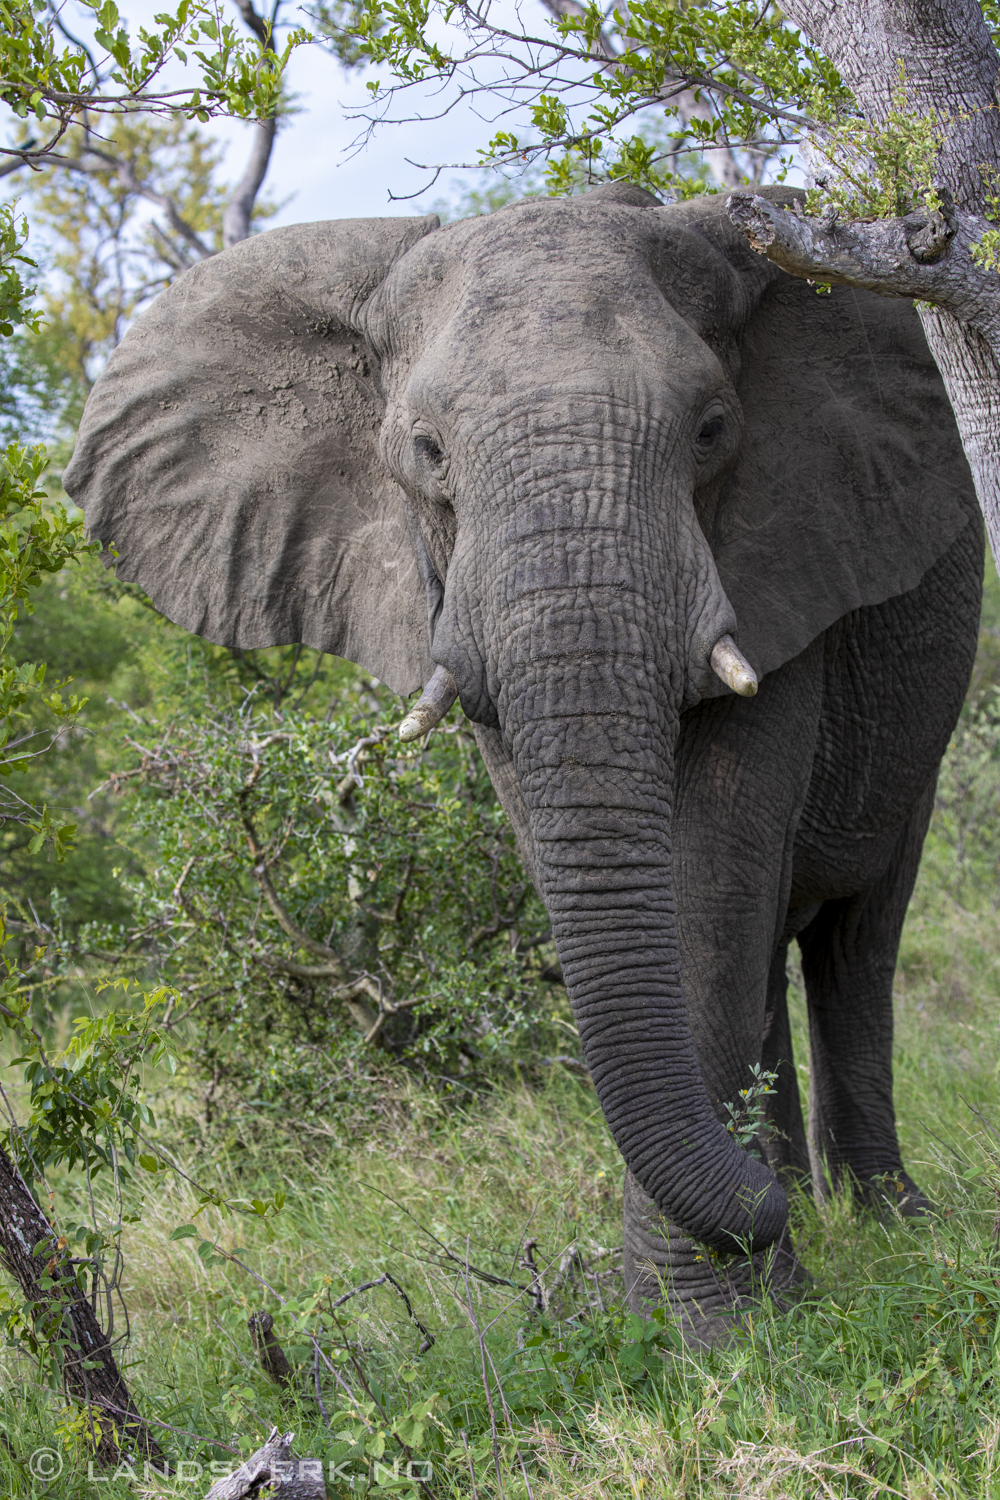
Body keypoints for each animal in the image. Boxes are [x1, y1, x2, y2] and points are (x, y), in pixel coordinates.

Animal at [64, 181, 983, 1344]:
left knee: (857, 936)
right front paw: (715, 1307)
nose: (757, 1212)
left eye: (712, 431)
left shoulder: (785, 550)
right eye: (426, 452)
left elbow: (713, 865)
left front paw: (719, 1329)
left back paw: (883, 1218)